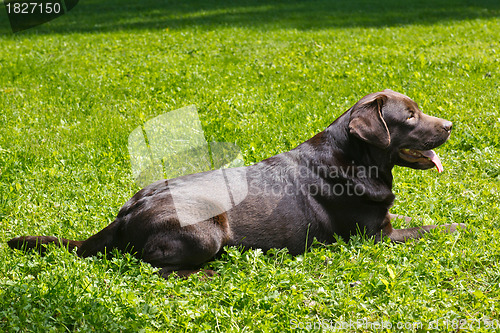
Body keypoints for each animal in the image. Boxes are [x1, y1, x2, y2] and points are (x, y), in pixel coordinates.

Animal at [6, 89, 464, 276]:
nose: (450, 125)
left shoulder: (382, 223)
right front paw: (462, 226)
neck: (357, 159)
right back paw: (210, 271)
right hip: (204, 232)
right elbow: (431, 227)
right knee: (156, 267)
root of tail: (125, 213)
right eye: (411, 117)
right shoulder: (375, 237)